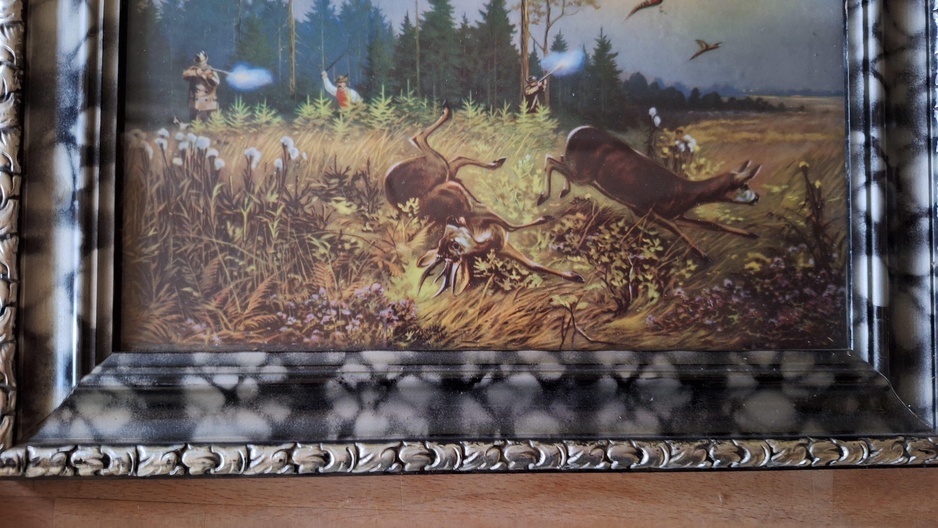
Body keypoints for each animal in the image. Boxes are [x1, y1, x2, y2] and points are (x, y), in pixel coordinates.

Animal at [385, 103, 584, 296]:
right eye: (451, 245)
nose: (452, 219)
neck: (482, 238)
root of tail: (388, 180)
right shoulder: (488, 223)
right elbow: (525, 252)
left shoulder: (490, 224)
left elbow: (528, 256)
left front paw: (574, 276)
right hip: (439, 168)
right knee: (427, 144)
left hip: (443, 170)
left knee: (448, 155)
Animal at [540, 126, 762, 261]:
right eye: (744, 185)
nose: (758, 198)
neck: (685, 193)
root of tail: (573, 132)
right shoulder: (646, 210)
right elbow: (677, 230)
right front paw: (703, 255)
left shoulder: (675, 214)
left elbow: (711, 224)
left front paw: (750, 234)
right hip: (583, 174)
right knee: (550, 159)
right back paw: (543, 197)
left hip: (577, 168)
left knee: (558, 158)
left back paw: (562, 191)